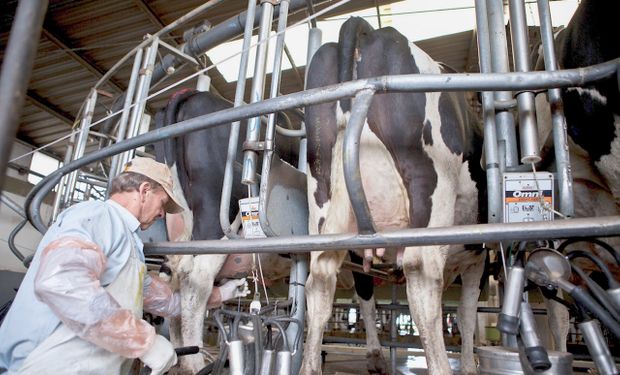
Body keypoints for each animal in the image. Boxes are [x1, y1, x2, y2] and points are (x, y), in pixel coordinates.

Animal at [302, 18, 486, 375]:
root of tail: (365, 28)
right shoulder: (479, 256)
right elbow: (468, 313)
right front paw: (470, 365)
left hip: (323, 197)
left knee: (321, 279)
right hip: (429, 186)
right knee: (422, 278)